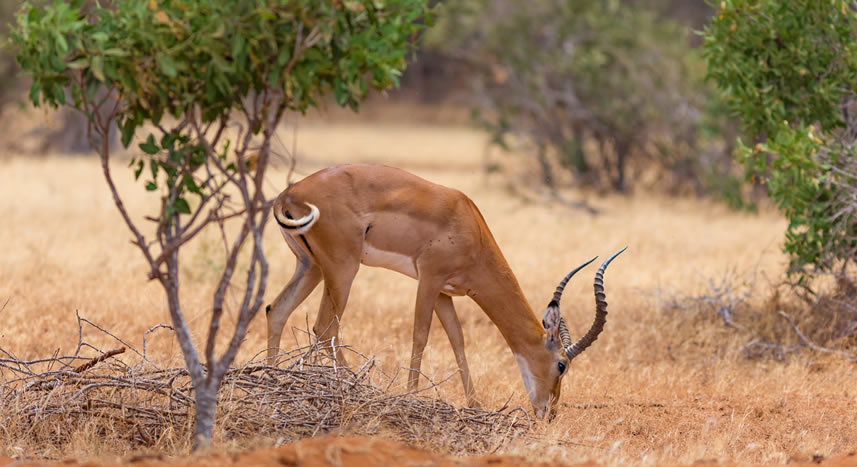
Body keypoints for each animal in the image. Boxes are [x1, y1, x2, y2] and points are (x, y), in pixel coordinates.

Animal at [268, 165, 620, 420]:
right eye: (561, 365)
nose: (549, 413)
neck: (468, 224)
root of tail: (288, 193)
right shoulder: (428, 279)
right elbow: (421, 335)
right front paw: (410, 396)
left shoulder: (445, 292)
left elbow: (457, 340)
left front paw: (475, 406)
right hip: (343, 269)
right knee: (324, 326)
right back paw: (356, 385)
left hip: (311, 267)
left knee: (277, 310)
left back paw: (272, 379)